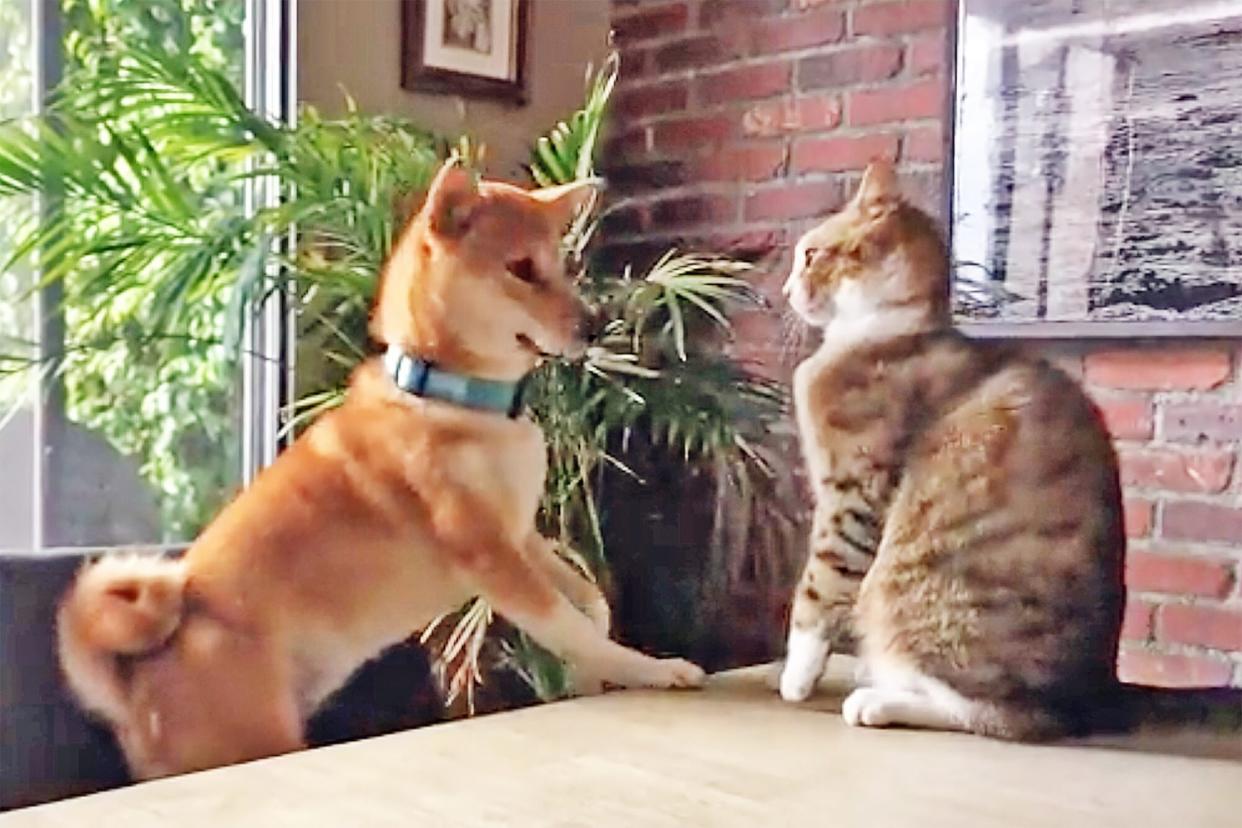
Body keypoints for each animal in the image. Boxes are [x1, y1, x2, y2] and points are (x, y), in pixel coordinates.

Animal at [779, 160, 1237, 739]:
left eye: (811, 254)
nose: (786, 288)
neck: (884, 332)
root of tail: (1100, 690)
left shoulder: (853, 494)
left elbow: (819, 584)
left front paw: (796, 677)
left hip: (906, 595)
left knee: (1000, 715)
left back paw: (879, 702)